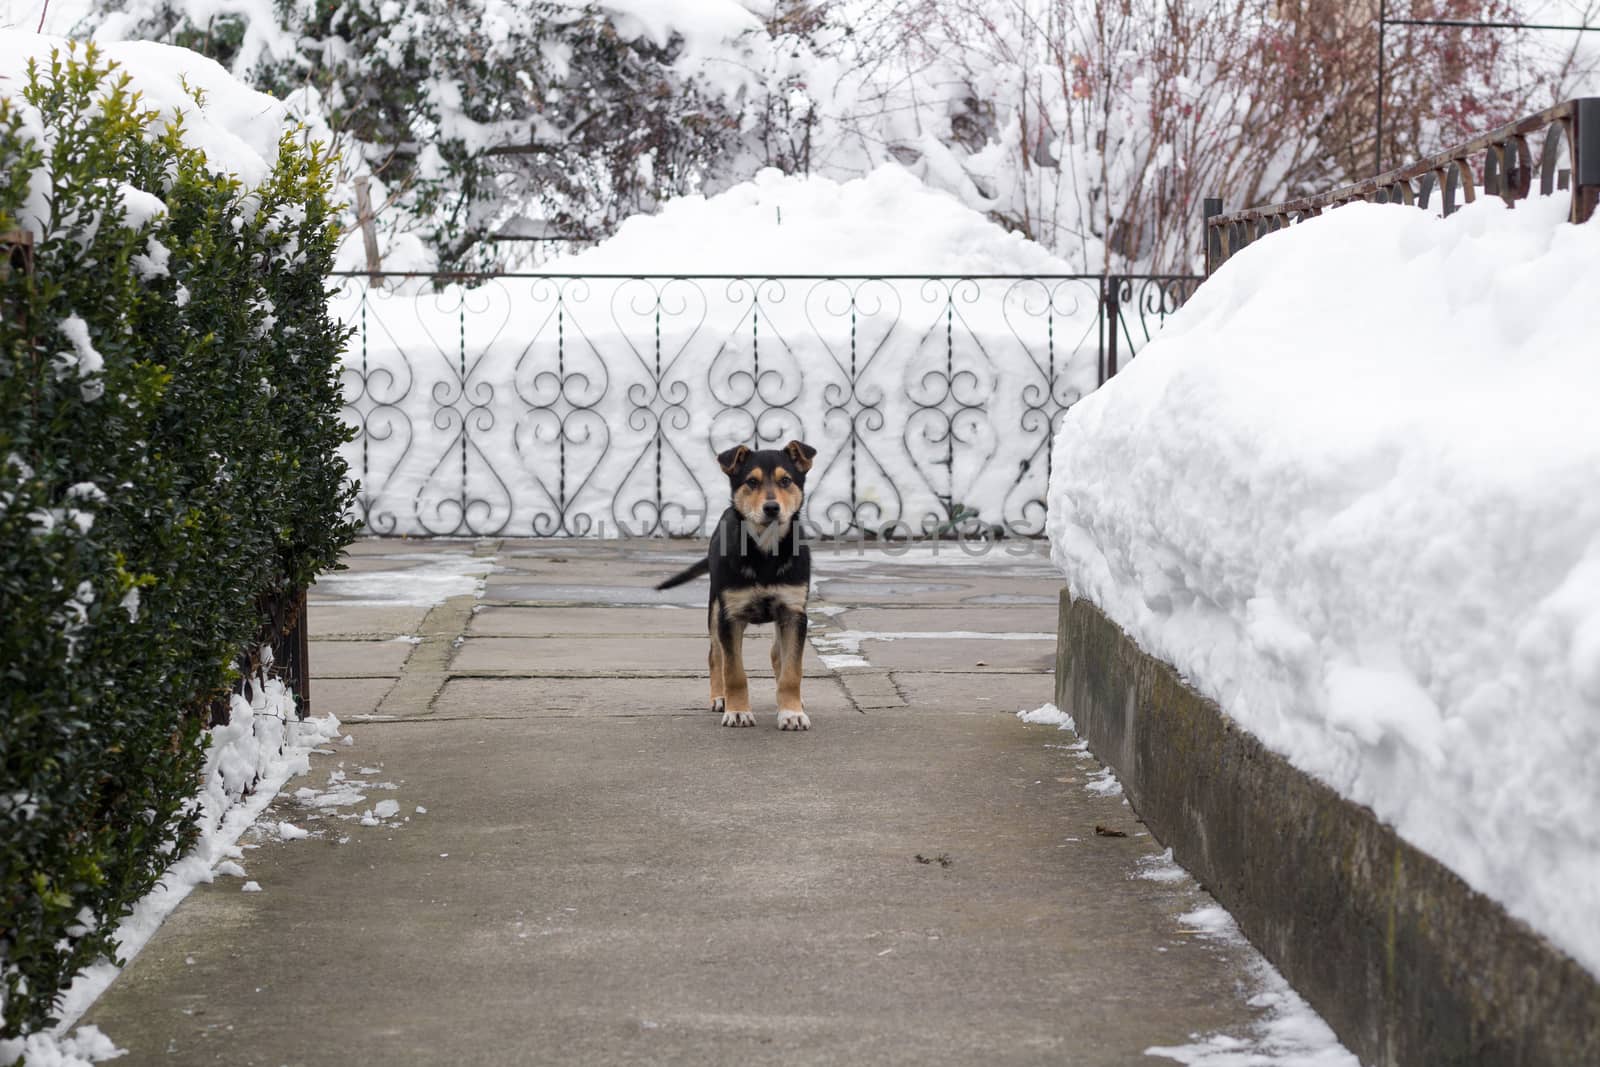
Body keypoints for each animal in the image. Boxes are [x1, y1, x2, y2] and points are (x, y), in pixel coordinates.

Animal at [656, 438, 819, 729]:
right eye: (751, 482)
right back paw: (719, 698)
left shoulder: (793, 612)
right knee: (715, 656)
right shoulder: (730, 615)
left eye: (786, 480)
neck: (765, 551)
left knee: (776, 655)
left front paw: (791, 712)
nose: (771, 508)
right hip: (714, 608)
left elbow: (792, 670)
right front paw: (738, 711)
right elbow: (734, 671)